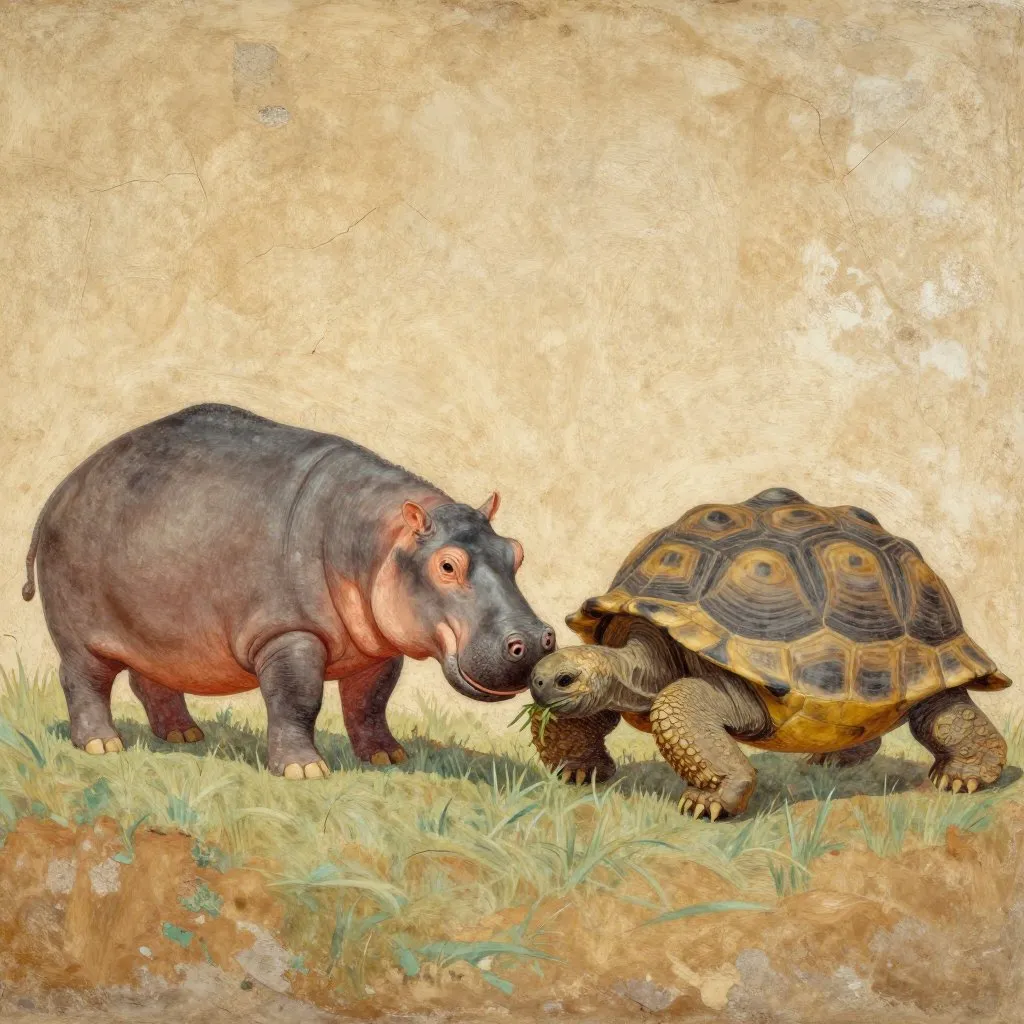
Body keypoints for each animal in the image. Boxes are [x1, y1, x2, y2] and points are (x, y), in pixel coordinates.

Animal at [22, 403, 555, 778]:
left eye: (516, 551)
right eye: (447, 565)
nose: (534, 640)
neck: (376, 539)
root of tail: (58, 492)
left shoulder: (378, 647)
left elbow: (370, 702)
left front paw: (387, 758)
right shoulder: (288, 633)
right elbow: (298, 699)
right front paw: (305, 771)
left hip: (157, 630)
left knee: (150, 678)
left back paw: (184, 735)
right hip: (80, 632)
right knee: (83, 680)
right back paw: (102, 745)